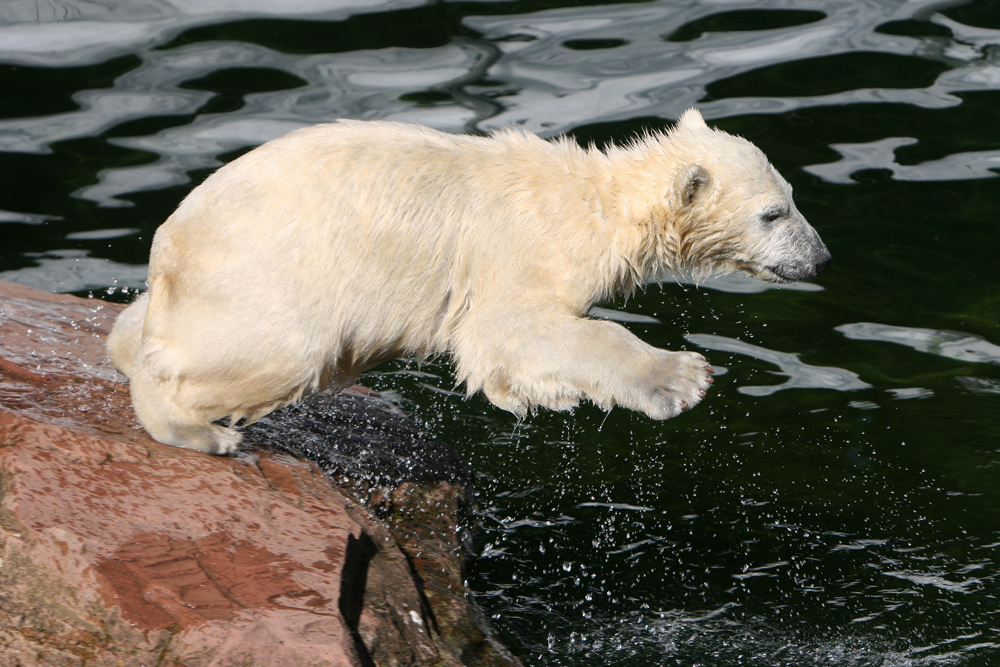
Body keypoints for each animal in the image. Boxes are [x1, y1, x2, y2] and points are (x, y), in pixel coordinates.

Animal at [107, 109, 828, 454]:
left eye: (793, 198)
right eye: (772, 213)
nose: (821, 259)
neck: (600, 202)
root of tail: (168, 249)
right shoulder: (525, 249)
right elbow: (508, 331)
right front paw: (679, 379)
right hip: (263, 280)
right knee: (272, 352)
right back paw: (199, 430)